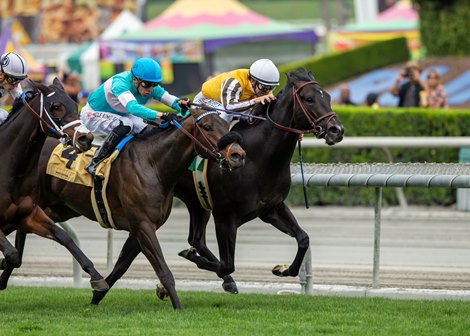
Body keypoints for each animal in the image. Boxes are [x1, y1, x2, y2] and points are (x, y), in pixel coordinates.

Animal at [0, 78, 107, 292]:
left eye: (75, 104)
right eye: (56, 106)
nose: (86, 138)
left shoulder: (27, 214)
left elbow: (64, 237)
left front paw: (97, 277)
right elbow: (13, 255)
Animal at [23, 108, 244, 310]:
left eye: (226, 125)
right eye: (207, 127)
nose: (237, 155)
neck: (152, 164)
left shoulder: (139, 229)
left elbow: (120, 267)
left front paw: (96, 296)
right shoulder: (143, 225)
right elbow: (163, 270)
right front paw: (178, 307)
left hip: (56, 208)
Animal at [173, 69, 346, 294]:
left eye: (329, 97)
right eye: (309, 99)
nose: (337, 130)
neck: (258, 159)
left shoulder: (272, 208)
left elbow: (303, 239)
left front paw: (282, 269)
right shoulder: (225, 216)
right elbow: (227, 263)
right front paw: (194, 258)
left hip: (197, 202)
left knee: (196, 239)